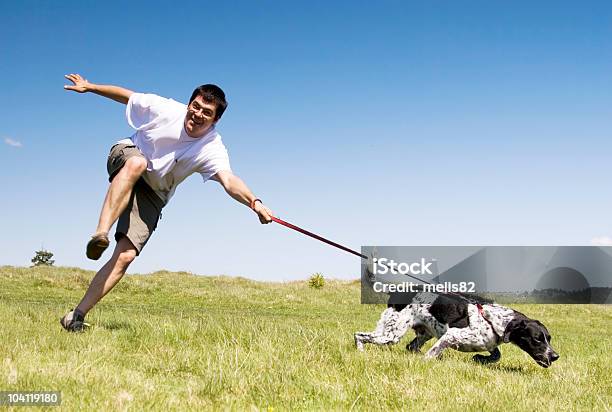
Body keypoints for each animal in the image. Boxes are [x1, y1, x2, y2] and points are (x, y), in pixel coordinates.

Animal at [354, 292, 560, 368]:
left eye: (548, 338)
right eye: (537, 339)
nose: (555, 356)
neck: (492, 319)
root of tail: (395, 291)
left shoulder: (488, 342)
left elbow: (496, 355)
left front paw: (479, 359)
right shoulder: (451, 334)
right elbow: (432, 353)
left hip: (423, 333)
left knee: (411, 347)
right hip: (391, 334)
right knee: (358, 335)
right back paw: (360, 352)